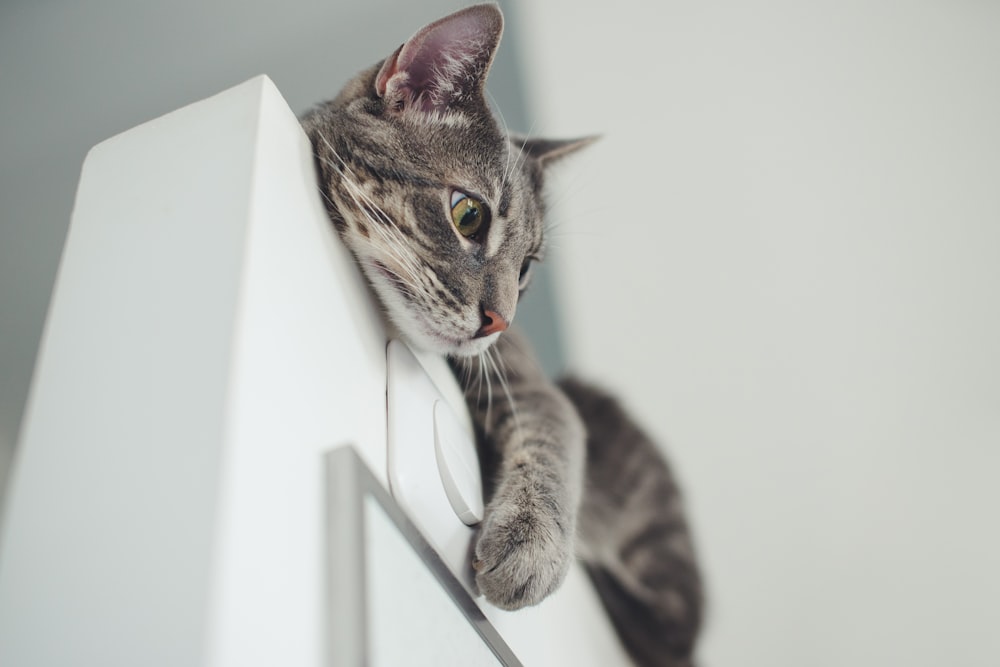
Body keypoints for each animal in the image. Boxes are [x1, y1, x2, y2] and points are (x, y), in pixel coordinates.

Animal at [304, 5, 704, 667]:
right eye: (469, 216)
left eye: (527, 269)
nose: (502, 322)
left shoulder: (533, 386)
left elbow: (551, 443)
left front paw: (533, 544)